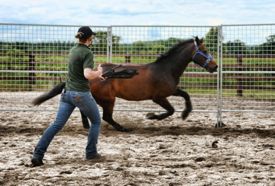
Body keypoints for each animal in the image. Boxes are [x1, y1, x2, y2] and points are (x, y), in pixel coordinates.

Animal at [32, 37, 218, 132]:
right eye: (205, 51)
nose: (214, 67)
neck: (166, 69)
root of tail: (92, 75)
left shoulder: (171, 91)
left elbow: (186, 95)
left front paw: (185, 114)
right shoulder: (158, 97)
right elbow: (170, 110)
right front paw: (151, 116)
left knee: (84, 109)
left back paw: (87, 125)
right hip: (108, 100)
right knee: (106, 117)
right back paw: (122, 128)